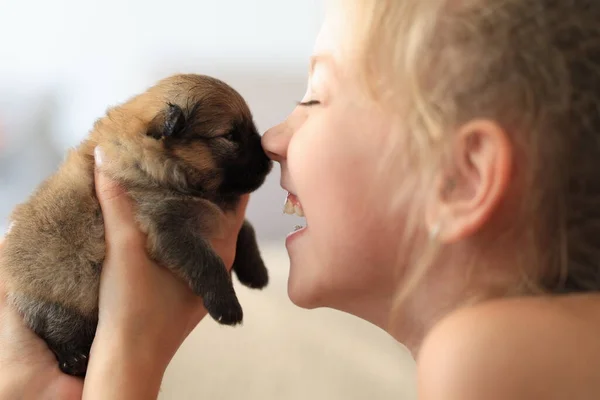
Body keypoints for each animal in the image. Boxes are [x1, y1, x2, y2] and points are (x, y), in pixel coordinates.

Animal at [0, 72, 274, 378]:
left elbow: (245, 228)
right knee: (56, 330)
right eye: (230, 136)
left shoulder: (211, 215)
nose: (269, 160)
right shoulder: (168, 225)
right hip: (58, 299)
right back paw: (74, 359)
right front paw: (226, 304)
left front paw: (256, 270)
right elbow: (208, 262)